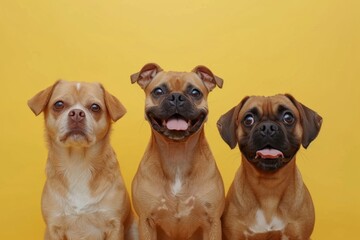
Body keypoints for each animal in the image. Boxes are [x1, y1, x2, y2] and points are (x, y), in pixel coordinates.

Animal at [27, 80, 137, 240]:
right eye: (59, 104)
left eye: (95, 107)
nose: (77, 114)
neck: (78, 162)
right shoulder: (54, 227)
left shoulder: (114, 226)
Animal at [129, 62, 225, 239]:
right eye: (158, 91)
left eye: (195, 92)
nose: (176, 97)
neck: (177, 155)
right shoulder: (146, 222)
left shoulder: (213, 222)